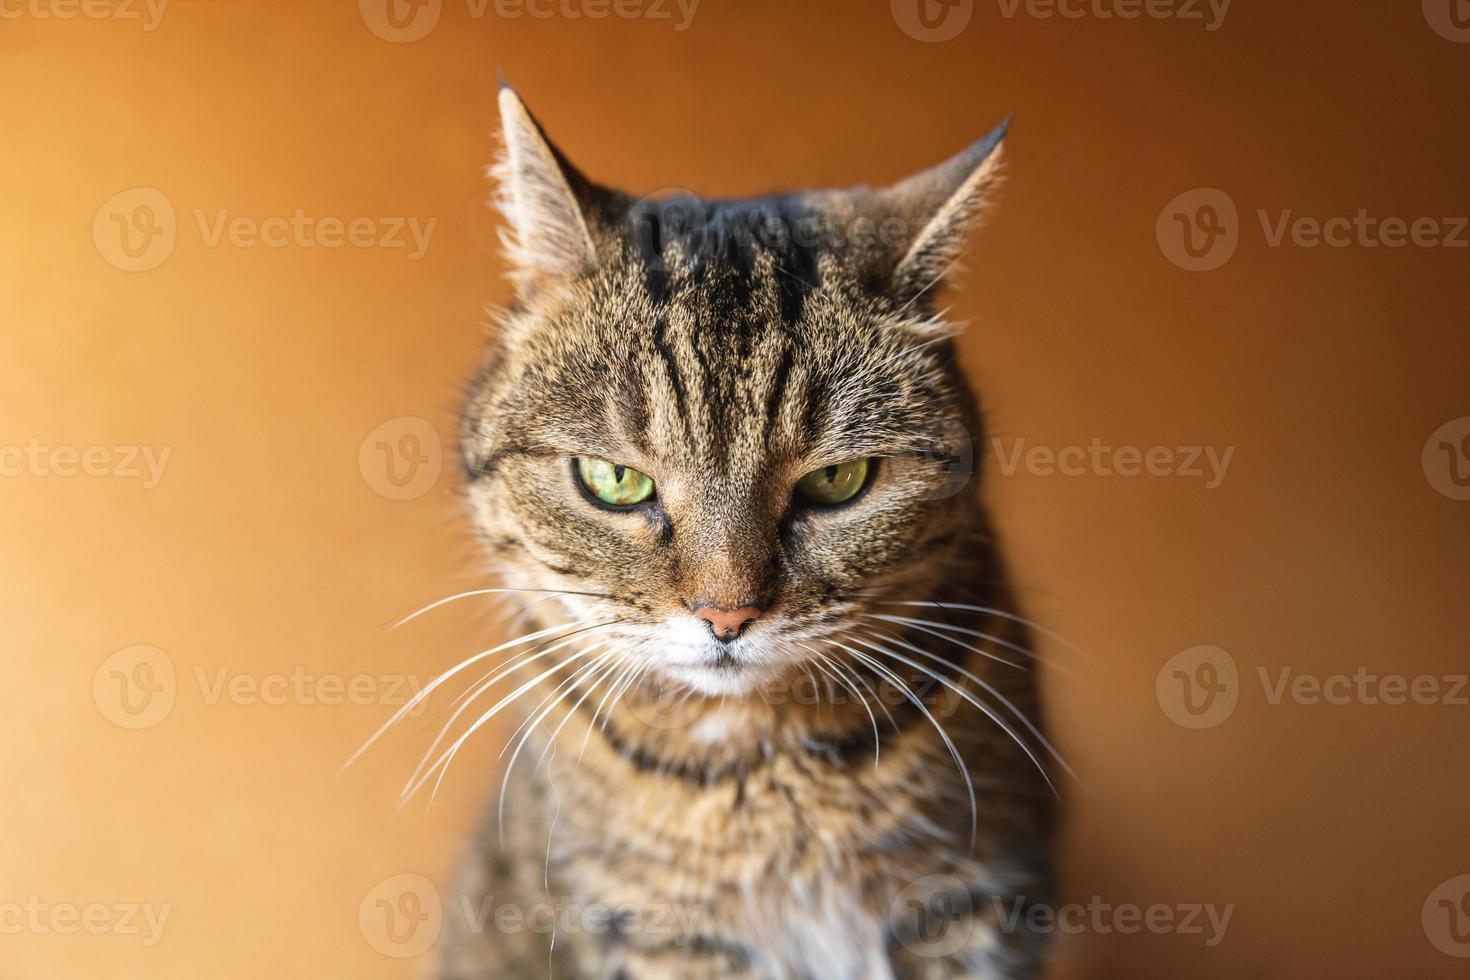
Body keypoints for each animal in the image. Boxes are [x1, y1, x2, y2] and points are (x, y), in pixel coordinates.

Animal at [429, 86, 1064, 980]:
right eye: (615, 480)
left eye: (838, 482)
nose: (726, 616)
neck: (763, 771)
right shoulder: (658, 929)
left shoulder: (978, 897)